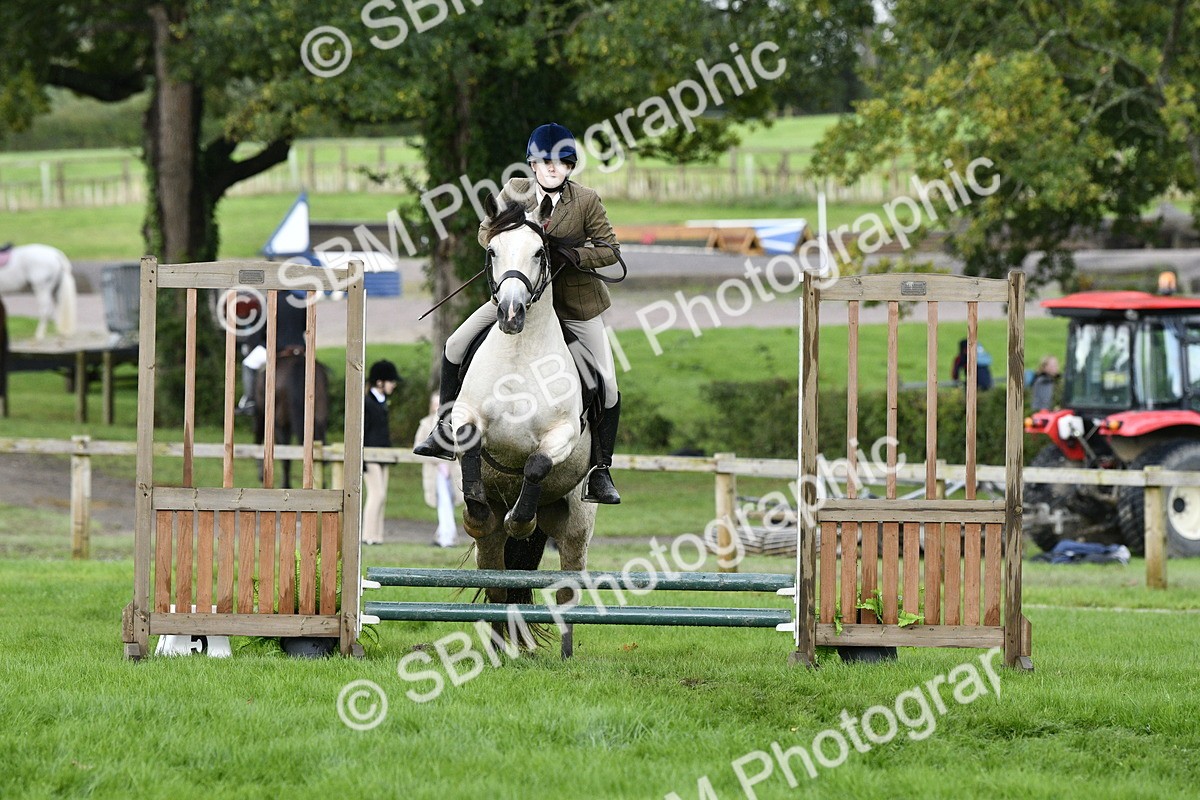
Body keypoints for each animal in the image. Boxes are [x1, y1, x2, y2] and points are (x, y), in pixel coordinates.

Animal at [451, 192, 597, 657]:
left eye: (539, 252)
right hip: (493, 548)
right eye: (493, 251)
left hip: (575, 525)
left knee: (567, 589)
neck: (519, 351)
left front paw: (521, 520)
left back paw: (565, 655)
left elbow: (535, 464)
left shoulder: (561, 435)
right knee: (498, 582)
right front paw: (476, 506)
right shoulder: (466, 415)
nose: (511, 314)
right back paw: (501, 649)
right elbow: (470, 443)